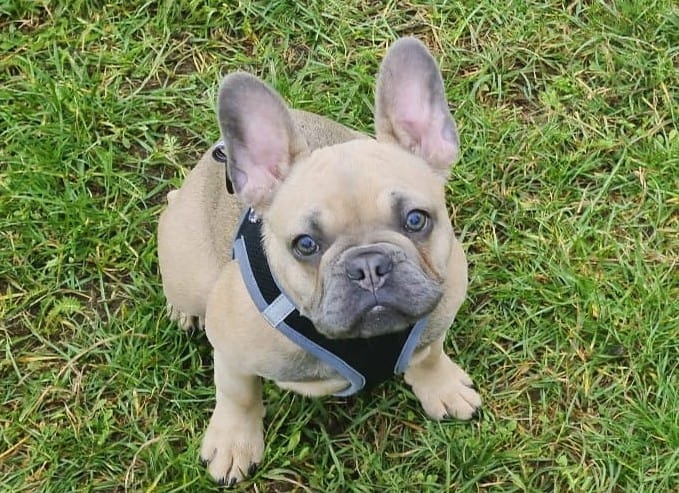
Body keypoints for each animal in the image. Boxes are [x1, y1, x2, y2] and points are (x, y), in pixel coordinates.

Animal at [157, 37, 480, 484]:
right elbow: (238, 394)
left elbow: (430, 354)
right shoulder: (231, 350)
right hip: (186, 266)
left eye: (416, 220)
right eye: (305, 244)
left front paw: (442, 387)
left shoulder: (438, 316)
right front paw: (234, 442)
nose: (368, 266)